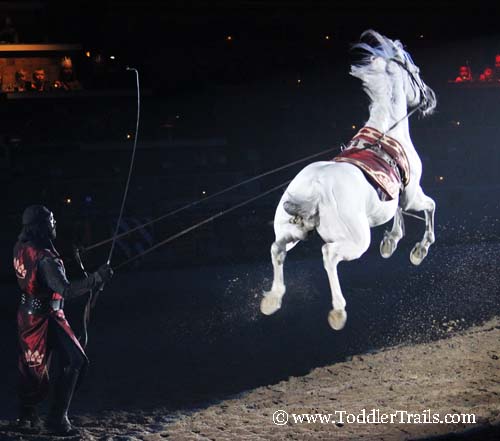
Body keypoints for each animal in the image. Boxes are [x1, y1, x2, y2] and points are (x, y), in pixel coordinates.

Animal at [260, 29, 436, 328]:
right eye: (416, 72)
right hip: (355, 242)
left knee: (276, 249)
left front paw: (390, 242)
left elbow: (397, 212)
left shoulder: (395, 197)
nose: (431, 98)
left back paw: (272, 300)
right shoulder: (412, 195)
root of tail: (313, 189)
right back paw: (338, 311)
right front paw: (418, 251)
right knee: (329, 255)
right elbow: (429, 206)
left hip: (291, 231)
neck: (388, 131)